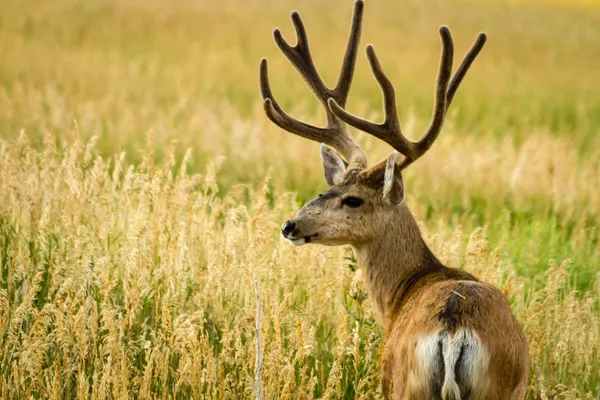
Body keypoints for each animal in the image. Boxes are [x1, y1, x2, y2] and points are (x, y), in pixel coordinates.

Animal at [260, 1, 528, 398]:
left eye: (353, 200)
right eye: (328, 188)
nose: (290, 225)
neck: (402, 290)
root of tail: (454, 331)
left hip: (407, 382)